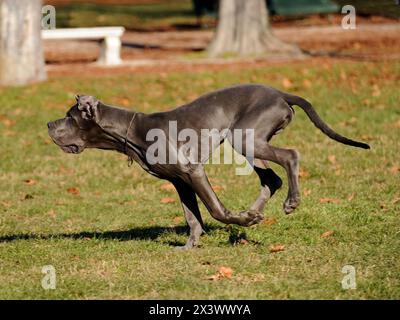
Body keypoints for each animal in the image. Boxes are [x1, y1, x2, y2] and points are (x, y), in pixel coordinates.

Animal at [48, 84, 370, 249]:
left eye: (69, 116)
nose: (49, 124)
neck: (131, 130)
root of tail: (280, 93)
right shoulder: (180, 181)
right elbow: (192, 216)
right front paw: (190, 245)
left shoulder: (193, 171)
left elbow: (215, 210)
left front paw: (237, 220)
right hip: (249, 140)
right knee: (271, 179)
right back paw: (254, 212)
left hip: (245, 138)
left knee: (290, 155)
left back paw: (288, 203)